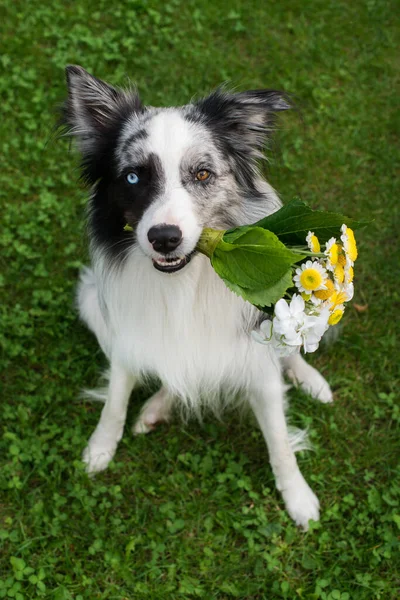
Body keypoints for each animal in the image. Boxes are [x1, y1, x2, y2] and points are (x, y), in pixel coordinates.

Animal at [61, 63, 332, 528]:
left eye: (202, 174)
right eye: (133, 176)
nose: (165, 238)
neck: (183, 283)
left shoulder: (256, 360)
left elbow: (279, 439)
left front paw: (298, 497)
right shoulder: (128, 335)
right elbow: (115, 399)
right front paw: (100, 448)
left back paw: (311, 381)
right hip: (90, 301)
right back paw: (156, 407)